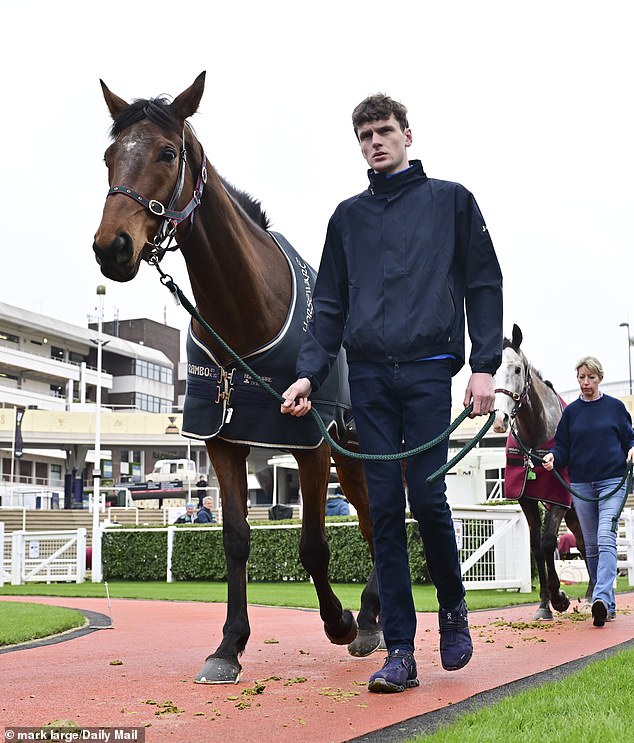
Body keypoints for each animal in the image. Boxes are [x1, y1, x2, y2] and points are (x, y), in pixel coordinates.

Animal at [90, 72, 378, 684]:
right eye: (109, 156)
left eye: (167, 152)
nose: (112, 246)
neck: (246, 314)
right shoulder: (222, 438)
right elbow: (236, 538)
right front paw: (229, 645)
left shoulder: (306, 437)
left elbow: (314, 544)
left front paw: (338, 620)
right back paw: (375, 616)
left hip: (351, 439)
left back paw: (365, 617)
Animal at [492, 326, 592, 620]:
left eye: (516, 369)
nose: (500, 419)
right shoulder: (526, 499)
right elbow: (536, 546)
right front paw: (544, 604)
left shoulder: (558, 497)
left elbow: (549, 543)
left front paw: (559, 597)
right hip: (573, 513)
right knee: (583, 545)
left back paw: (592, 597)